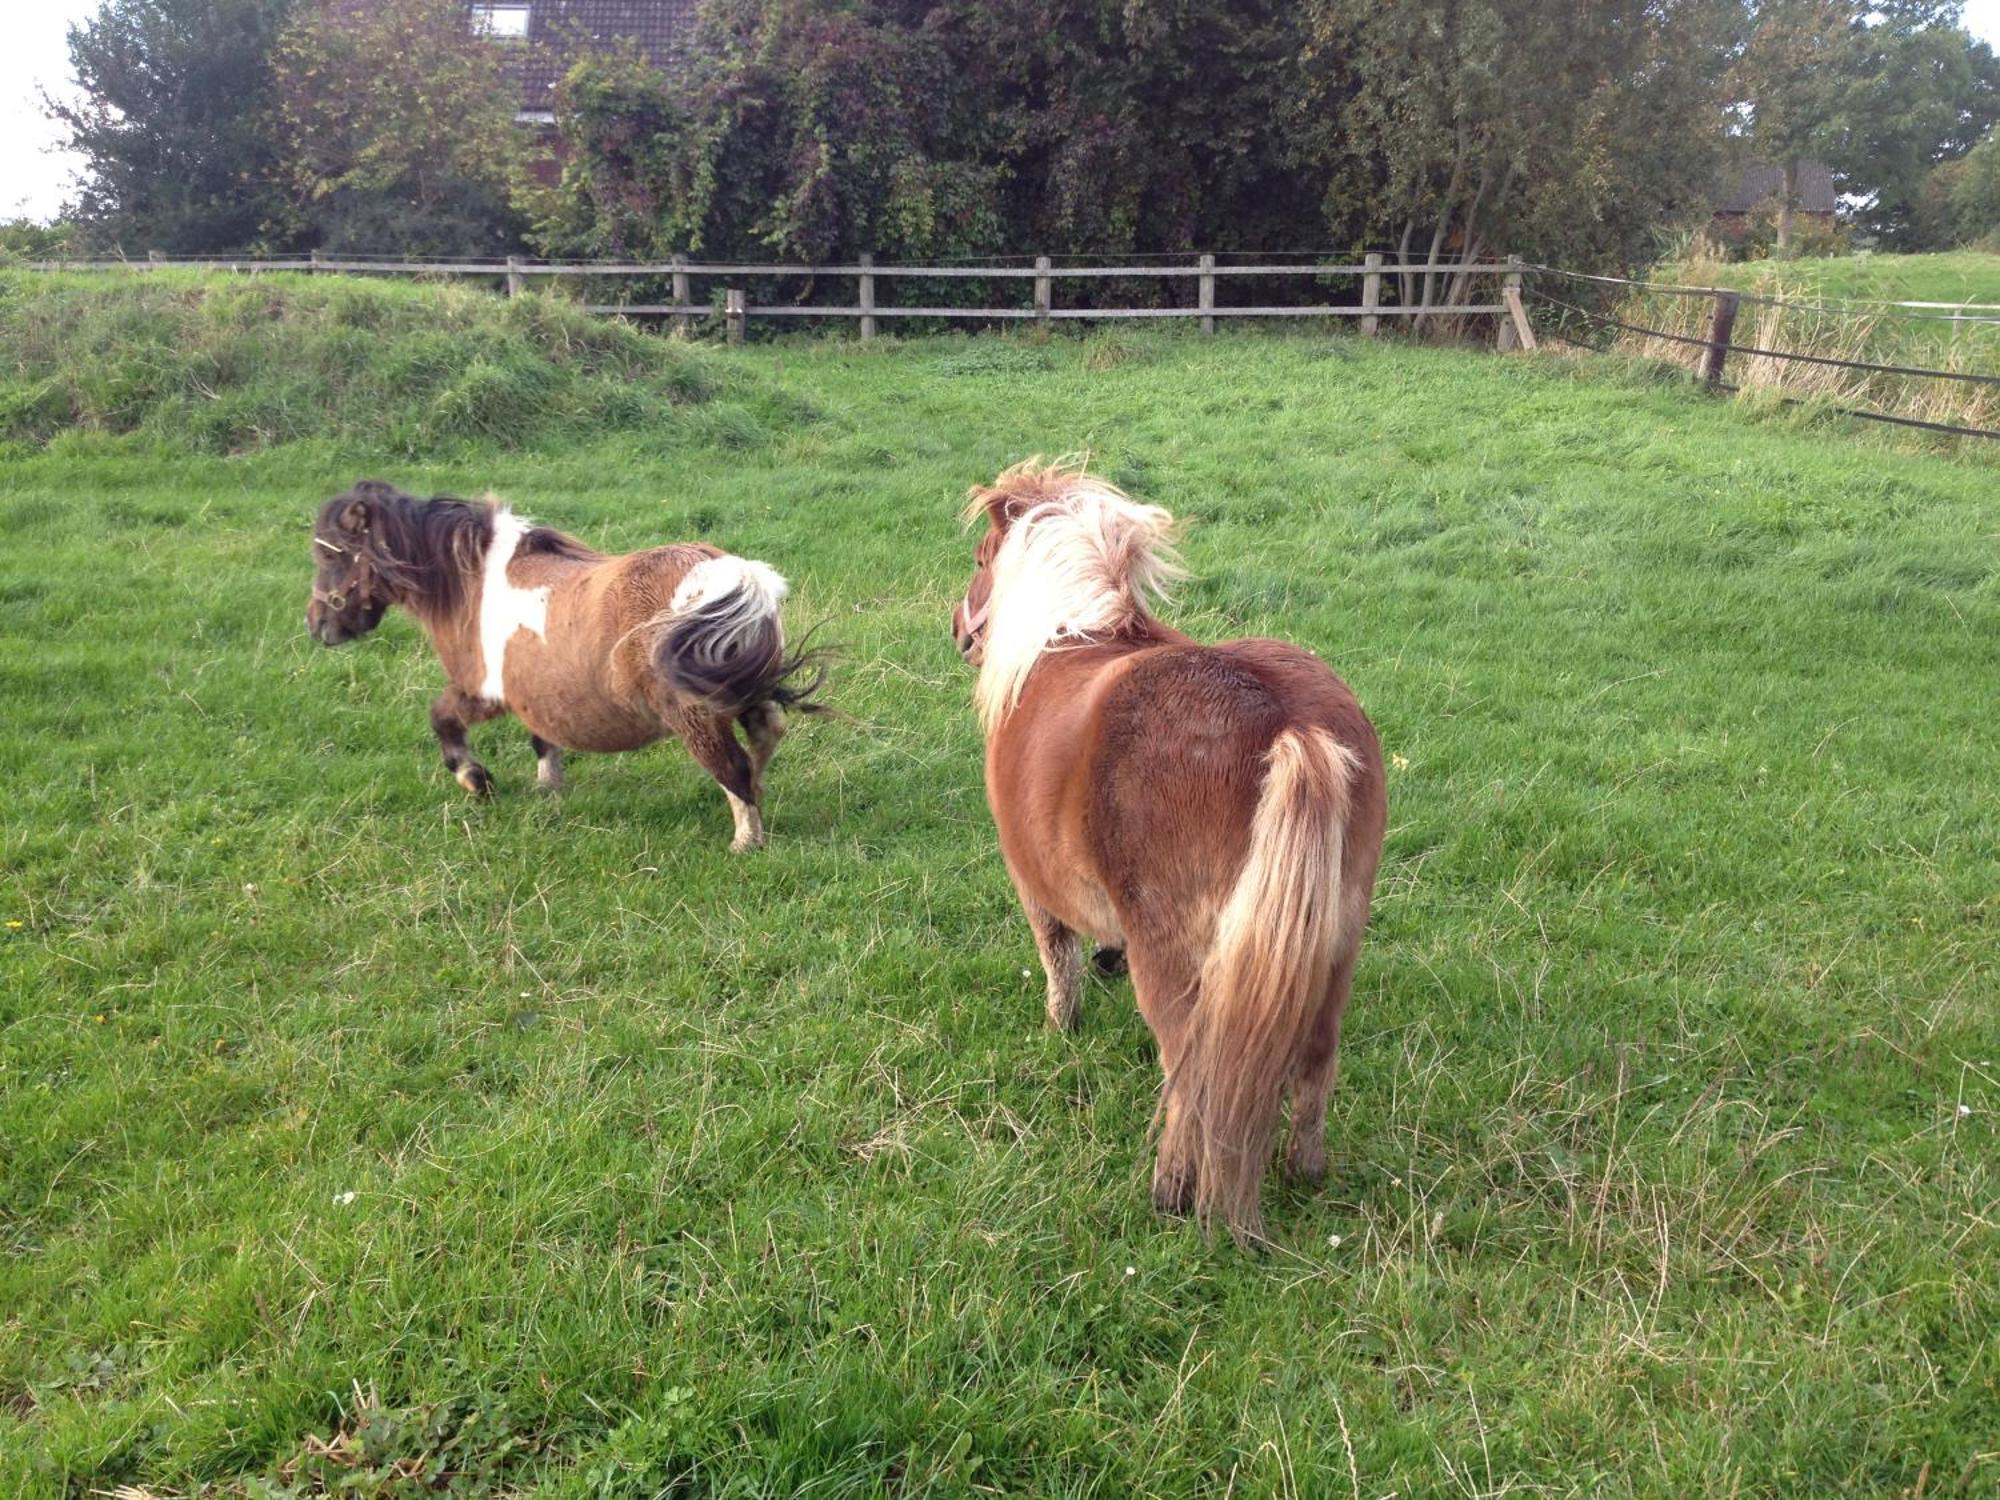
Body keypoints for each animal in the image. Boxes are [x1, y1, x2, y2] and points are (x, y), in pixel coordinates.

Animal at [306, 484, 820, 852]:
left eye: (329, 553)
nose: (317, 625)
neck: (471, 585)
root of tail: (737, 578)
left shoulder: (483, 692)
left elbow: (443, 718)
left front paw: (476, 780)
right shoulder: (537, 694)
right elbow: (543, 741)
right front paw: (547, 789)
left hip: (695, 714)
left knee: (732, 768)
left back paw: (745, 842)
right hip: (738, 692)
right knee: (765, 736)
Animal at [952, 458, 1392, 1248]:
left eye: (980, 561)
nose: (958, 634)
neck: (1071, 635)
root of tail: (1290, 725)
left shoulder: (1032, 884)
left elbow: (1057, 961)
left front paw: (1060, 1028)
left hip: (1181, 966)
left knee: (1189, 1070)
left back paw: (1172, 1192)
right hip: (1337, 949)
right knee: (1317, 1061)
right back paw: (1304, 1171)